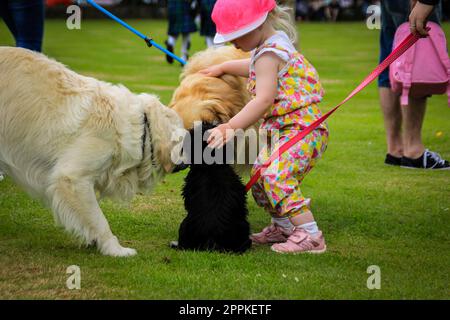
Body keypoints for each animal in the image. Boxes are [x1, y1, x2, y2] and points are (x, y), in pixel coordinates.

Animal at [0, 47, 185, 256]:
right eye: (185, 142)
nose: (189, 163)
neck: (141, 126)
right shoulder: (73, 178)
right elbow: (99, 220)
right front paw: (115, 249)